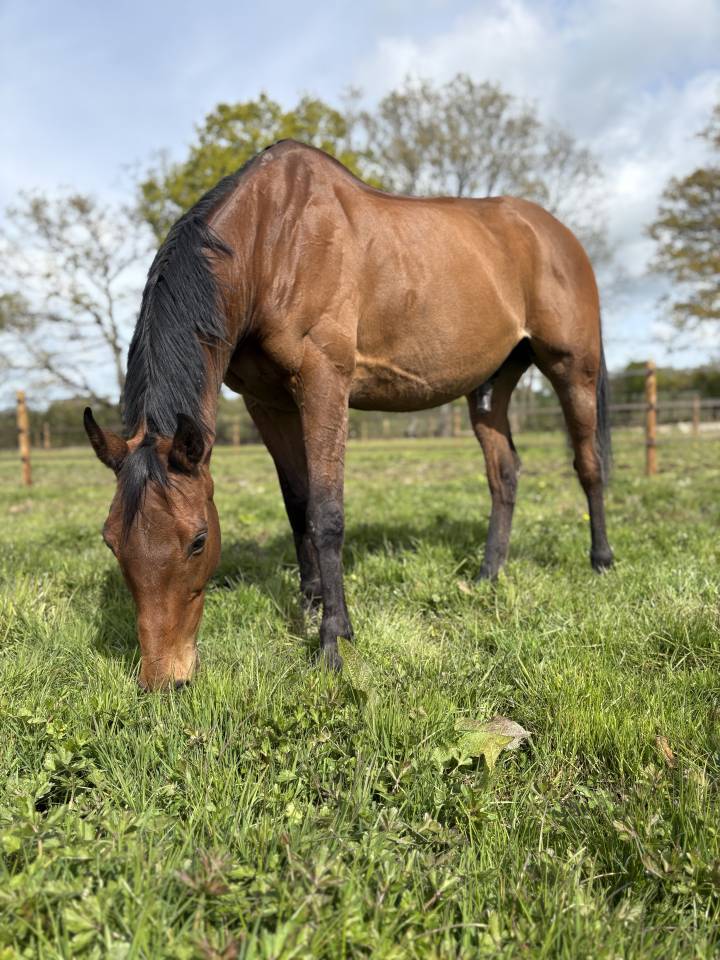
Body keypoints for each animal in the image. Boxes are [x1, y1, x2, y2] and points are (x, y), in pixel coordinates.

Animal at [84, 139, 613, 690]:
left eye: (198, 541)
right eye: (110, 540)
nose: (163, 678)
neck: (272, 242)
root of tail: (556, 233)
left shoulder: (324, 383)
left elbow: (326, 512)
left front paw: (333, 639)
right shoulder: (267, 402)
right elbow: (298, 505)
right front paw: (311, 604)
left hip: (573, 369)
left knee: (588, 463)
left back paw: (600, 561)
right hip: (492, 385)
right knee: (504, 472)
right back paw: (488, 575)